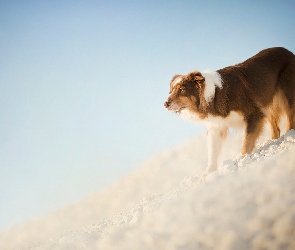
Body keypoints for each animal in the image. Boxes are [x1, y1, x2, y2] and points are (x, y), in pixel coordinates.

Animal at [164, 47, 295, 176]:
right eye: (171, 90)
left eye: (181, 90)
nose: (165, 104)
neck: (214, 96)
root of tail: (287, 51)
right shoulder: (216, 126)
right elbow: (213, 151)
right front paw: (208, 173)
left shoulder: (254, 113)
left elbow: (247, 140)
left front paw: (242, 158)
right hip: (268, 106)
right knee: (276, 128)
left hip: (286, 96)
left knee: (290, 119)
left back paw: (289, 136)